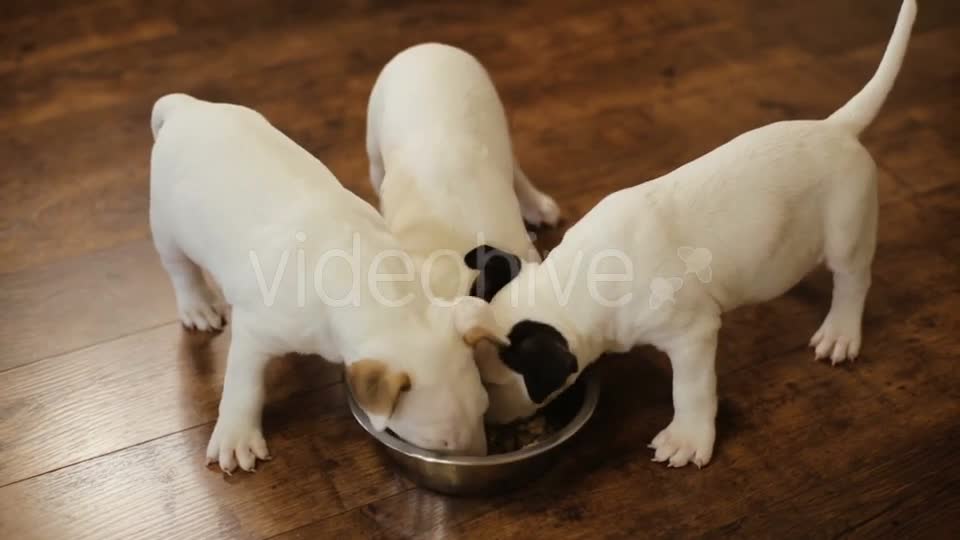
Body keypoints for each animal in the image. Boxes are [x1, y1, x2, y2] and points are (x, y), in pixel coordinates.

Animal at [150, 94, 506, 472]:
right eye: (441, 444)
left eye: (484, 409)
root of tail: (185, 107)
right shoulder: (255, 332)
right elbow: (243, 384)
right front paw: (237, 436)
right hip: (166, 226)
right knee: (180, 269)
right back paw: (197, 306)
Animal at [468, 0, 920, 468]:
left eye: (495, 385)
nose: (488, 426)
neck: (582, 280)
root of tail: (836, 128)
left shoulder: (692, 335)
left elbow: (690, 390)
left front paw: (687, 438)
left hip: (847, 227)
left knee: (852, 280)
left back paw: (841, 332)